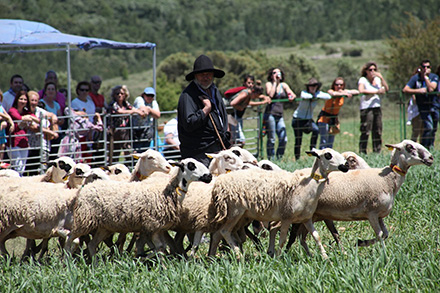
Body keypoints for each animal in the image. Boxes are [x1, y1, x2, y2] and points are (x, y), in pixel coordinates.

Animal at [65, 157, 213, 258]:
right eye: (191, 165)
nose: (210, 176)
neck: (167, 192)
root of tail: (86, 188)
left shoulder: (156, 227)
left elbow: (160, 247)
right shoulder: (152, 225)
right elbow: (159, 248)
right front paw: (145, 259)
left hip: (104, 227)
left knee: (92, 245)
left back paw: (95, 264)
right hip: (84, 220)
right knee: (70, 238)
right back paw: (66, 261)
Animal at [208, 148, 348, 258]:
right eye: (328, 155)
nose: (345, 166)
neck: (307, 187)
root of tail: (220, 183)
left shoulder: (306, 219)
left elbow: (317, 237)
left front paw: (325, 258)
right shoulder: (286, 217)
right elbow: (283, 240)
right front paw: (279, 258)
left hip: (240, 216)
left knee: (218, 234)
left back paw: (214, 256)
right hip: (234, 212)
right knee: (224, 231)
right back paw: (237, 254)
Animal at [288, 139, 434, 253]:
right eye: (410, 146)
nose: (431, 158)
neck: (388, 180)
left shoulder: (379, 215)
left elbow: (385, 234)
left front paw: (360, 243)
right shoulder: (372, 213)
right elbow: (380, 235)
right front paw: (384, 255)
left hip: (312, 216)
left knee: (301, 238)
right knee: (293, 237)